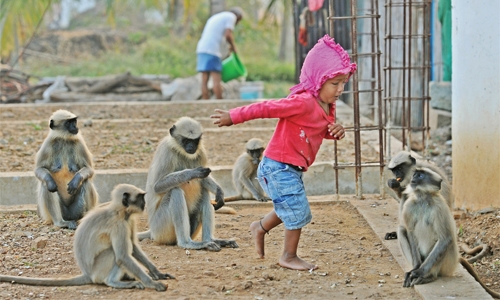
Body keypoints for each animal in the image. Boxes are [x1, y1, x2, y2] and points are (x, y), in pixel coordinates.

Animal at [0, 184, 174, 292]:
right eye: (141, 197)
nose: (144, 203)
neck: (119, 212)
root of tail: (88, 274)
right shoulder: (118, 224)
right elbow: (123, 256)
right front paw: (153, 284)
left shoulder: (128, 220)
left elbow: (133, 247)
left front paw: (157, 273)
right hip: (99, 269)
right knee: (113, 254)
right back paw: (115, 282)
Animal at [137, 117, 238, 251]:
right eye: (186, 140)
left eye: (195, 141)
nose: (191, 146)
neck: (181, 152)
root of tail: (152, 231)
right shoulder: (166, 151)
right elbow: (156, 187)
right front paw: (192, 172)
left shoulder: (201, 151)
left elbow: (203, 179)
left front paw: (219, 191)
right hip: (160, 228)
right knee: (175, 191)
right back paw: (187, 243)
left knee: (203, 191)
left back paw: (210, 240)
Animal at [396, 169, 498, 298]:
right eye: (415, 174)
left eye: (420, 175)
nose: (413, 178)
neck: (423, 198)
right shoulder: (409, 205)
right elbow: (411, 233)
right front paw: (415, 269)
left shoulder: (439, 205)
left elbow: (445, 238)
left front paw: (419, 272)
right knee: (401, 229)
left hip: (448, 264)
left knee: (448, 241)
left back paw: (429, 276)